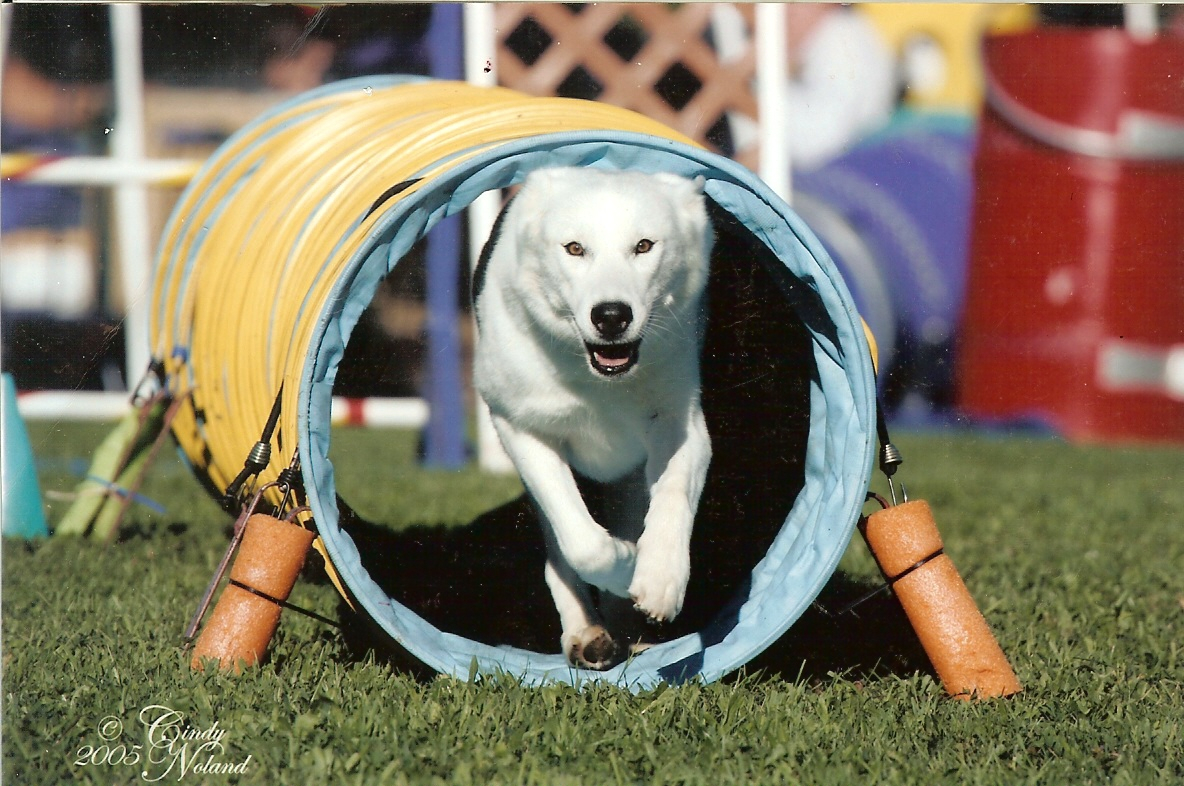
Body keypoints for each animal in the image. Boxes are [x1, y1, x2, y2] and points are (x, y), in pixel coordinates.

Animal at [471, 166, 710, 667]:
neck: (600, 379)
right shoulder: (520, 426)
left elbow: (674, 492)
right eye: (575, 248)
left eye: (644, 245)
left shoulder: (680, 422)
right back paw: (588, 631)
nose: (612, 315)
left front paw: (659, 578)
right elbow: (583, 545)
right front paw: (626, 565)